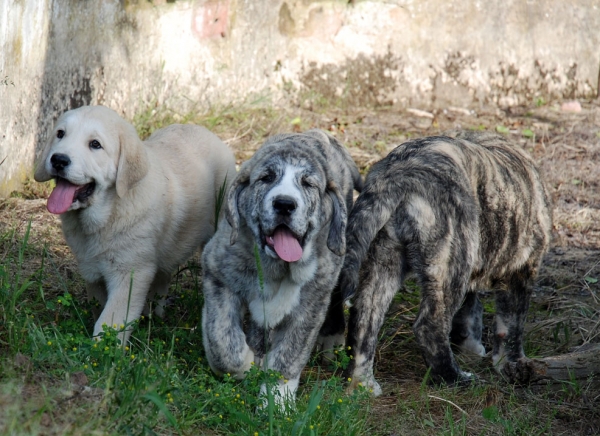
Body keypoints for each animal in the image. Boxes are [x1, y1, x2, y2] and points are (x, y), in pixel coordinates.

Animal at [34, 106, 237, 344]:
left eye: (95, 144)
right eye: (60, 134)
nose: (58, 160)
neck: (109, 212)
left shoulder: (130, 274)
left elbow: (109, 321)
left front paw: (102, 349)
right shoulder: (91, 270)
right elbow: (99, 307)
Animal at [202, 129, 360, 406]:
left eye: (308, 184)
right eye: (266, 178)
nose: (285, 204)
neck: (277, 268)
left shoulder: (309, 308)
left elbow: (289, 355)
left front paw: (277, 402)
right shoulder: (217, 275)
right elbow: (222, 342)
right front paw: (244, 363)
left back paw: (331, 337)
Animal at [340, 131, 552, 394]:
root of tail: (397, 175)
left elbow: (471, 310)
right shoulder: (520, 271)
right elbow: (512, 324)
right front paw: (512, 363)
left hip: (385, 260)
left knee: (364, 318)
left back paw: (362, 384)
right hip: (450, 263)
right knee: (430, 326)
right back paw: (454, 378)